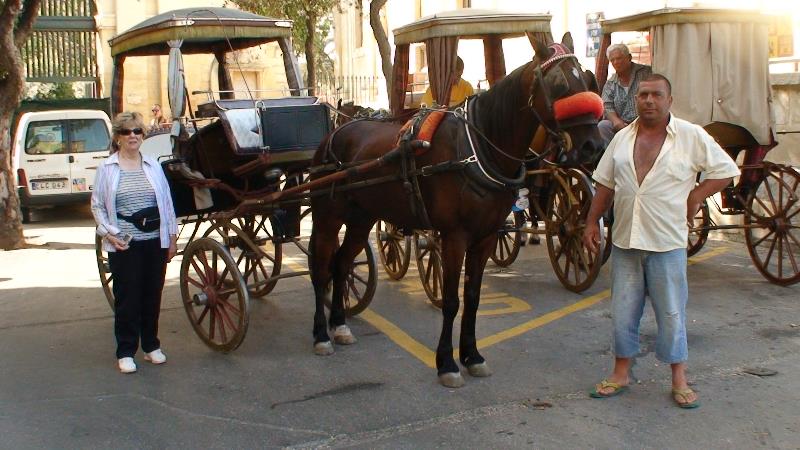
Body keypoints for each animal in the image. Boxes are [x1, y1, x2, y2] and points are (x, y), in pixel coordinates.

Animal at [308, 33, 604, 388]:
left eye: (586, 78)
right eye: (558, 84)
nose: (593, 146)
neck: (478, 148)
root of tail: (335, 133)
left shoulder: (486, 237)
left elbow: (473, 298)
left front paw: (472, 356)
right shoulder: (453, 237)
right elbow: (451, 301)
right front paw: (447, 363)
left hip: (361, 219)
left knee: (341, 264)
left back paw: (339, 324)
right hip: (327, 218)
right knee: (321, 268)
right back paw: (321, 334)